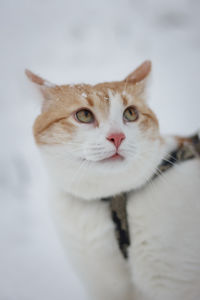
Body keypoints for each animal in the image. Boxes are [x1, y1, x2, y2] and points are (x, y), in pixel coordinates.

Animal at [25, 61, 200, 300]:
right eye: (84, 115)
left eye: (131, 113)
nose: (117, 136)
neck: (110, 198)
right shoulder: (103, 283)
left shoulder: (172, 281)